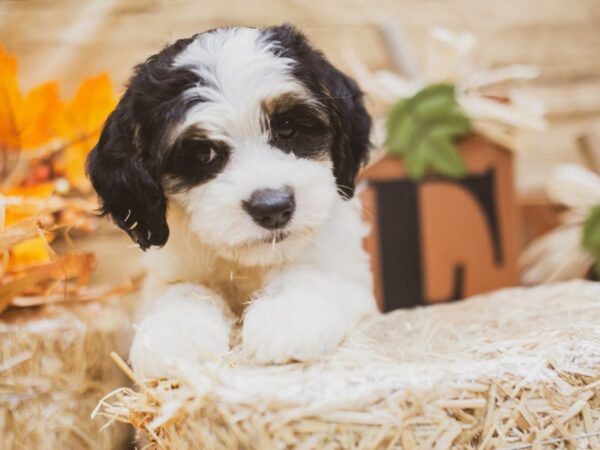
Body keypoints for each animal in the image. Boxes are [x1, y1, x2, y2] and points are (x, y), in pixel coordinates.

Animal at [86, 23, 378, 376]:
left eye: (288, 128)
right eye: (202, 154)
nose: (273, 208)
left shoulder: (352, 278)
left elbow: (311, 274)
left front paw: (288, 315)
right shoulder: (169, 272)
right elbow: (181, 290)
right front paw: (173, 335)